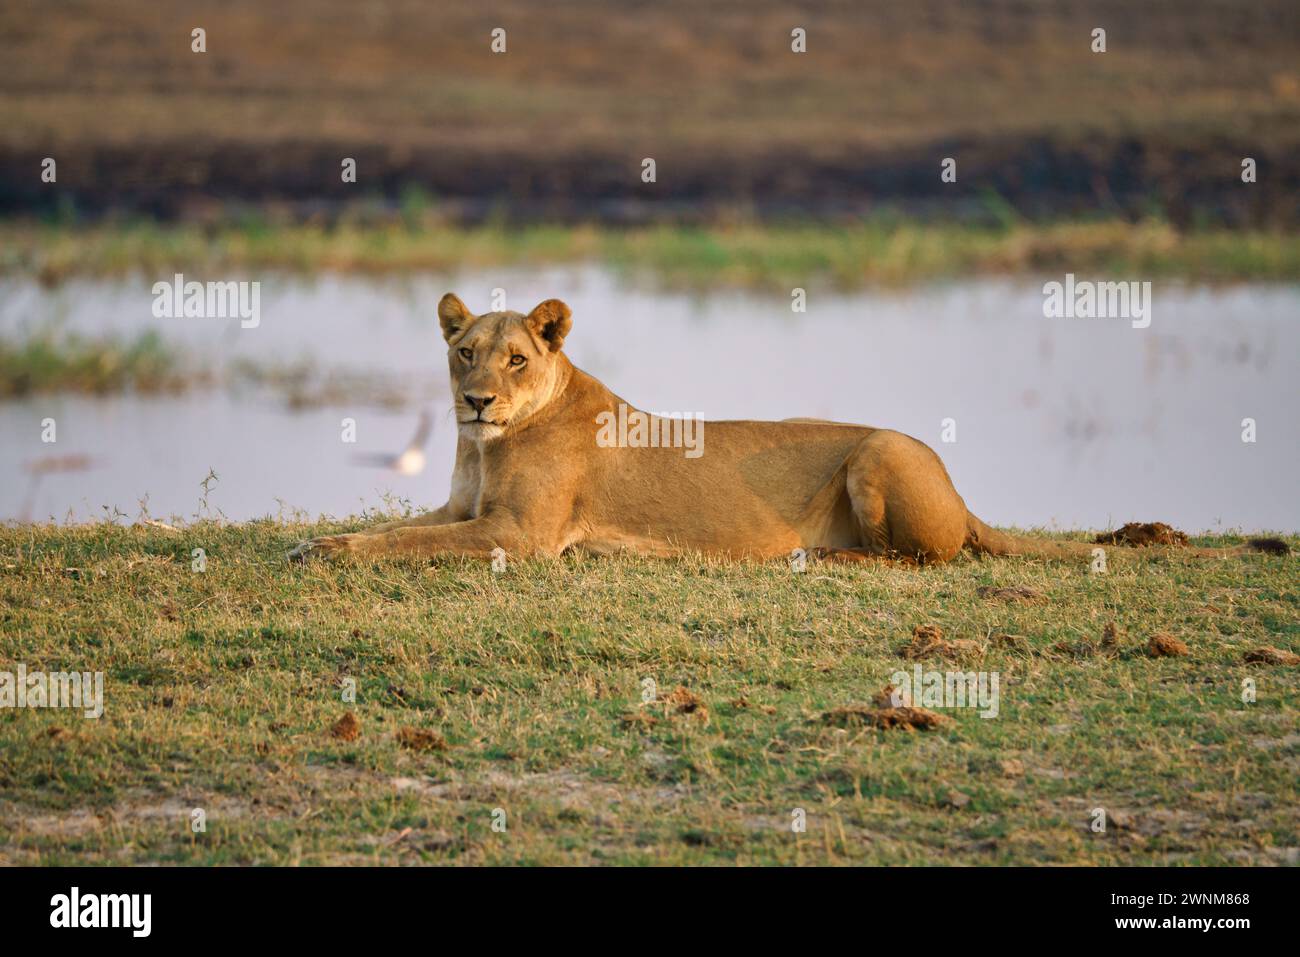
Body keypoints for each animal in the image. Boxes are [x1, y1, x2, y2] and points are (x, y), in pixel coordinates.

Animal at [289, 294, 1287, 564]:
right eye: (465, 354)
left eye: (517, 361)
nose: (477, 402)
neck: (486, 447)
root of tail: (964, 492)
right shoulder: (465, 512)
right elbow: (392, 526)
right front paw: (321, 541)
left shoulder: (518, 536)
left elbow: (402, 546)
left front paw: (333, 553)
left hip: (878, 451)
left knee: (923, 556)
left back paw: (827, 555)